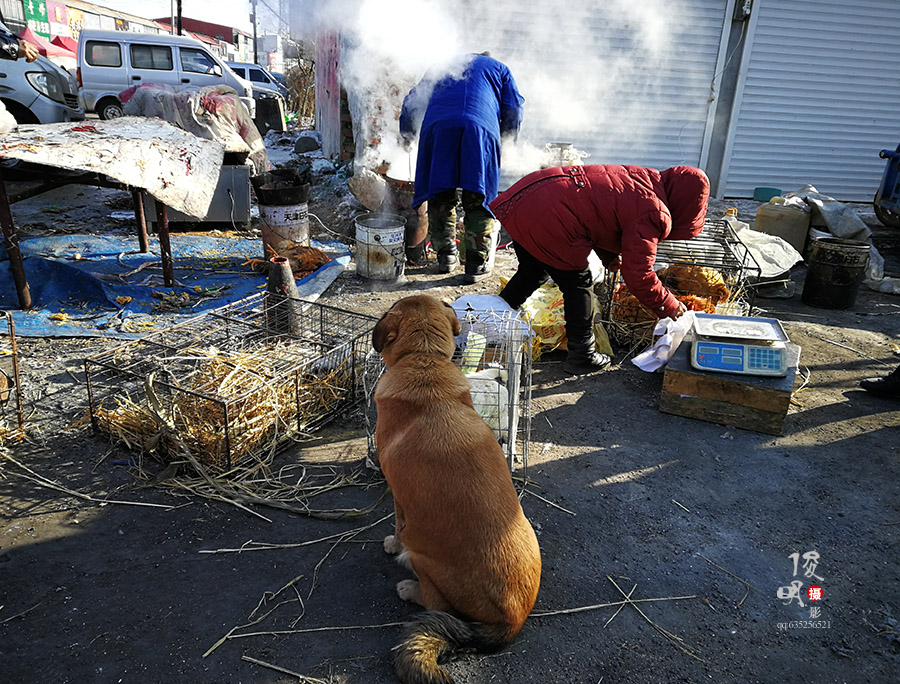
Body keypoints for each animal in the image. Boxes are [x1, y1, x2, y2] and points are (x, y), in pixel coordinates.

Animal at [372, 294, 540, 684]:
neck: (425, 360)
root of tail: (513, 620)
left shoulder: (399, 497)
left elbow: (395, 524)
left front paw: (390, 544)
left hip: (421, 555)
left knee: (435, 602)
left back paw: (409, 588)